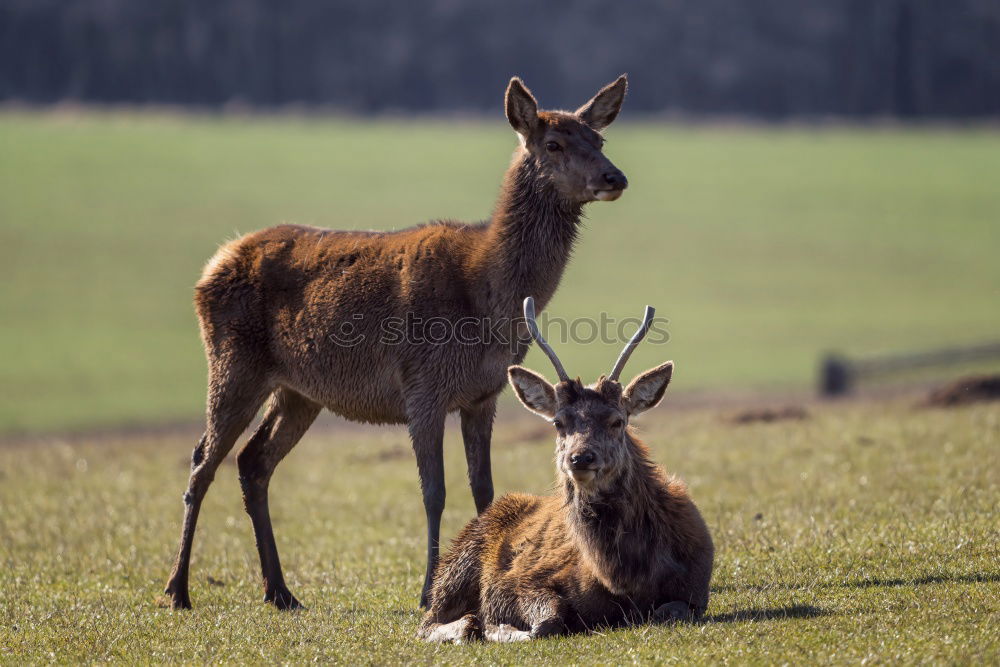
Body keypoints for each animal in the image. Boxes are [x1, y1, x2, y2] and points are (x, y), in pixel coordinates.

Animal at [165, 74, 632, 612]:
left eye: (599, 139)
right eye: (553, 143)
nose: (615, 177)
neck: (487, 298)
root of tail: (212, 265)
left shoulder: (484, 393)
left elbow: (485, 491)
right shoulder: (423, 385)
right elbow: (435, 491)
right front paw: (428, 592)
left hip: (298, 392)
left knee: (253, 461)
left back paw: (280, 591)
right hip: (232, 362)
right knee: (203, 460)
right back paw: (177, 589)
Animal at [418, 300, 716, 644]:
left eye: (617, 421)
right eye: (559, 423)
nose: (580, 457)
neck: (622, 578)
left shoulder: (696, 589)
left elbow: (669, 612)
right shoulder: (522, 580)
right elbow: (545, 623)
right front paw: (496, 626)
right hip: (457, 566)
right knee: (427, 622)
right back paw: (468, 625)